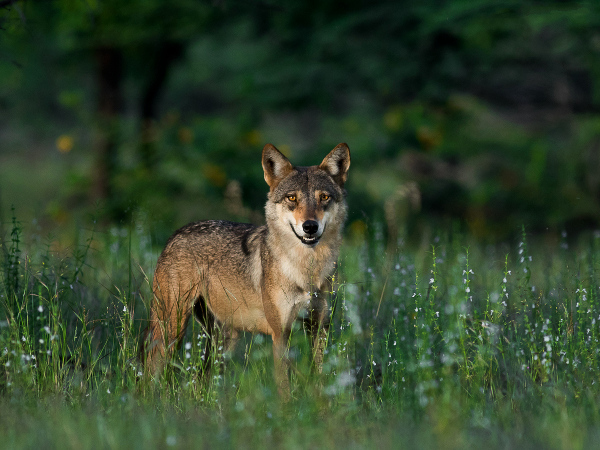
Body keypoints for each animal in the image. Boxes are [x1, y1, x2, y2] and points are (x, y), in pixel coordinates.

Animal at [144, 142, 352, 396]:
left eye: (324, 197)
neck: (307, 271)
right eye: (292, 198)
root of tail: (176, 234)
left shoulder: (319, 328)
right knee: (151, 369)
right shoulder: (280, 333)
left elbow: (318, 378)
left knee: (202, 378)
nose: (310, 226)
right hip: (171, 329)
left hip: (223, 340)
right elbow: (284, 387)